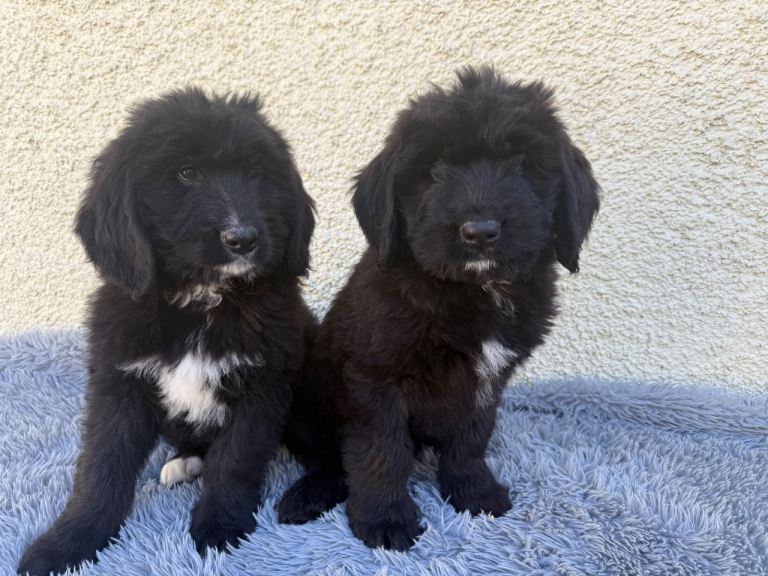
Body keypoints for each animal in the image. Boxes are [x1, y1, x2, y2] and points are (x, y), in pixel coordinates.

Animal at [18, 88, 315, 575]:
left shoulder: (263, 383)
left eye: (257, 174)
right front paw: (68, 542)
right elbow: (101, 467)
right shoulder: (120, 384)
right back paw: (185, 462)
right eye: (186, 173)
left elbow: (236, 459)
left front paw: (219, 528)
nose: (243, 238)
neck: (200, 298)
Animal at [278, 66, 600, 551]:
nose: (480, 231)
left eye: (523, 163)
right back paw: (308, 496)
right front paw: (385, 518)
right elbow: (381, 451)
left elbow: (470, 439)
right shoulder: (376, 379)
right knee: (326, 458)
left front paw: (472, 491)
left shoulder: (487, 382)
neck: (472, 290)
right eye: (433, 169)